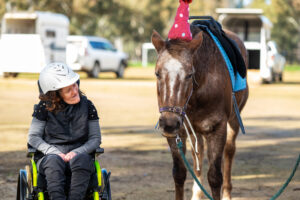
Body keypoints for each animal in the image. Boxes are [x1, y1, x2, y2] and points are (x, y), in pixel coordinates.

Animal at [152, 24, 248, 200]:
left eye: (190, 74)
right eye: (157, 73)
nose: (169, 123)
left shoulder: (217, 130)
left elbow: (215, 177)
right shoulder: (178, 133)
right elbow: (179, 173)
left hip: (233, 122)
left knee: (229, 151)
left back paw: (227, 193)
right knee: (198, 153)